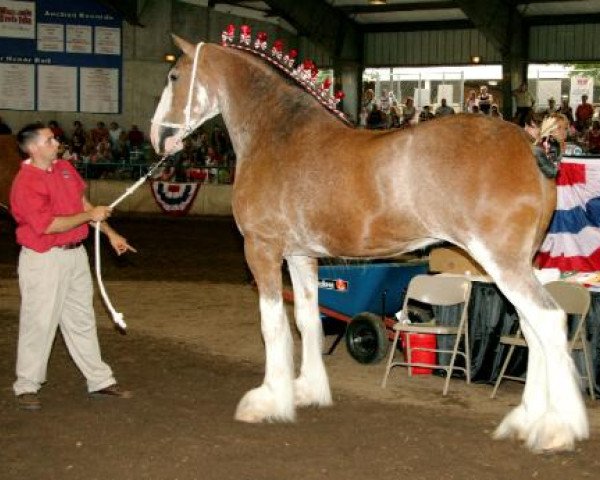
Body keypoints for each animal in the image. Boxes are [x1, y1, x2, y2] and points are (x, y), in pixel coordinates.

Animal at [150, 35, 584, 452]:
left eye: (173, 77)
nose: (158, 137)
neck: (277, 135)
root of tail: (533, 146)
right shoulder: (300, 255)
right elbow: (306, 320)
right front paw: (307, 391)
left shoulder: (262, 249)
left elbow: (272, 325)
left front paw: (268, 400)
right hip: (511, 268)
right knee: (530, 329)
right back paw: (525, 420)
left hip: (502, 264)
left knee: (548, 321)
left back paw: (555, 430)